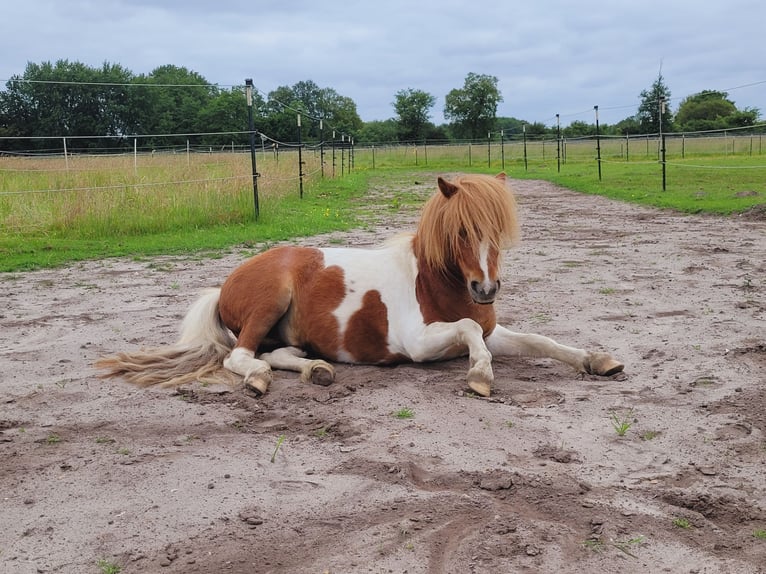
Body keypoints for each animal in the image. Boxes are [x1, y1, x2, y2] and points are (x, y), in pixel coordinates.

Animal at [96, 173, 624, 398]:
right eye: (460, 232)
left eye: (499, 230)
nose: (486, 290)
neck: (434, 283)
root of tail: (224, 285)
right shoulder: (421, 343)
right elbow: (472, 334)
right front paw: (479, 376)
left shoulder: (495, 332)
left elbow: (539, 339)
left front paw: (599, 360)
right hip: (269, 302)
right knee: (240, 358)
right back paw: (262, 379)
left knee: (278, 353)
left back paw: (317, 371)